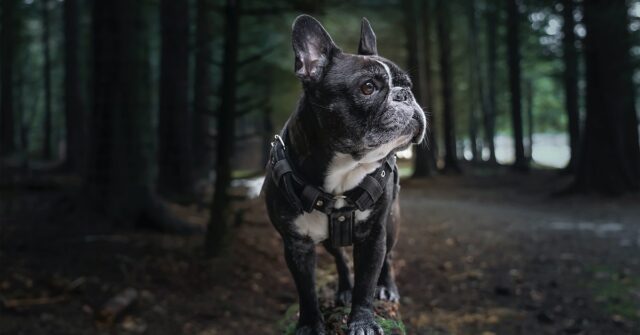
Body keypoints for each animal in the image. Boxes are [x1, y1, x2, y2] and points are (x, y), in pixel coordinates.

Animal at [262, 14, 428, 334]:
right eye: (368, 87)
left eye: (408, 84)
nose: (405, 95)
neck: (344, 171)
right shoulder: (296, 245)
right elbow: (306, 290)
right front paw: (310, 324)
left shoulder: (373, 236)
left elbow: (367, 282)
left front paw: (363, 321)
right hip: (329, 239)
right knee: (339, 255)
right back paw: (343, 289)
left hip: (392, 222)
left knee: (388, 258)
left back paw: (387, 287)